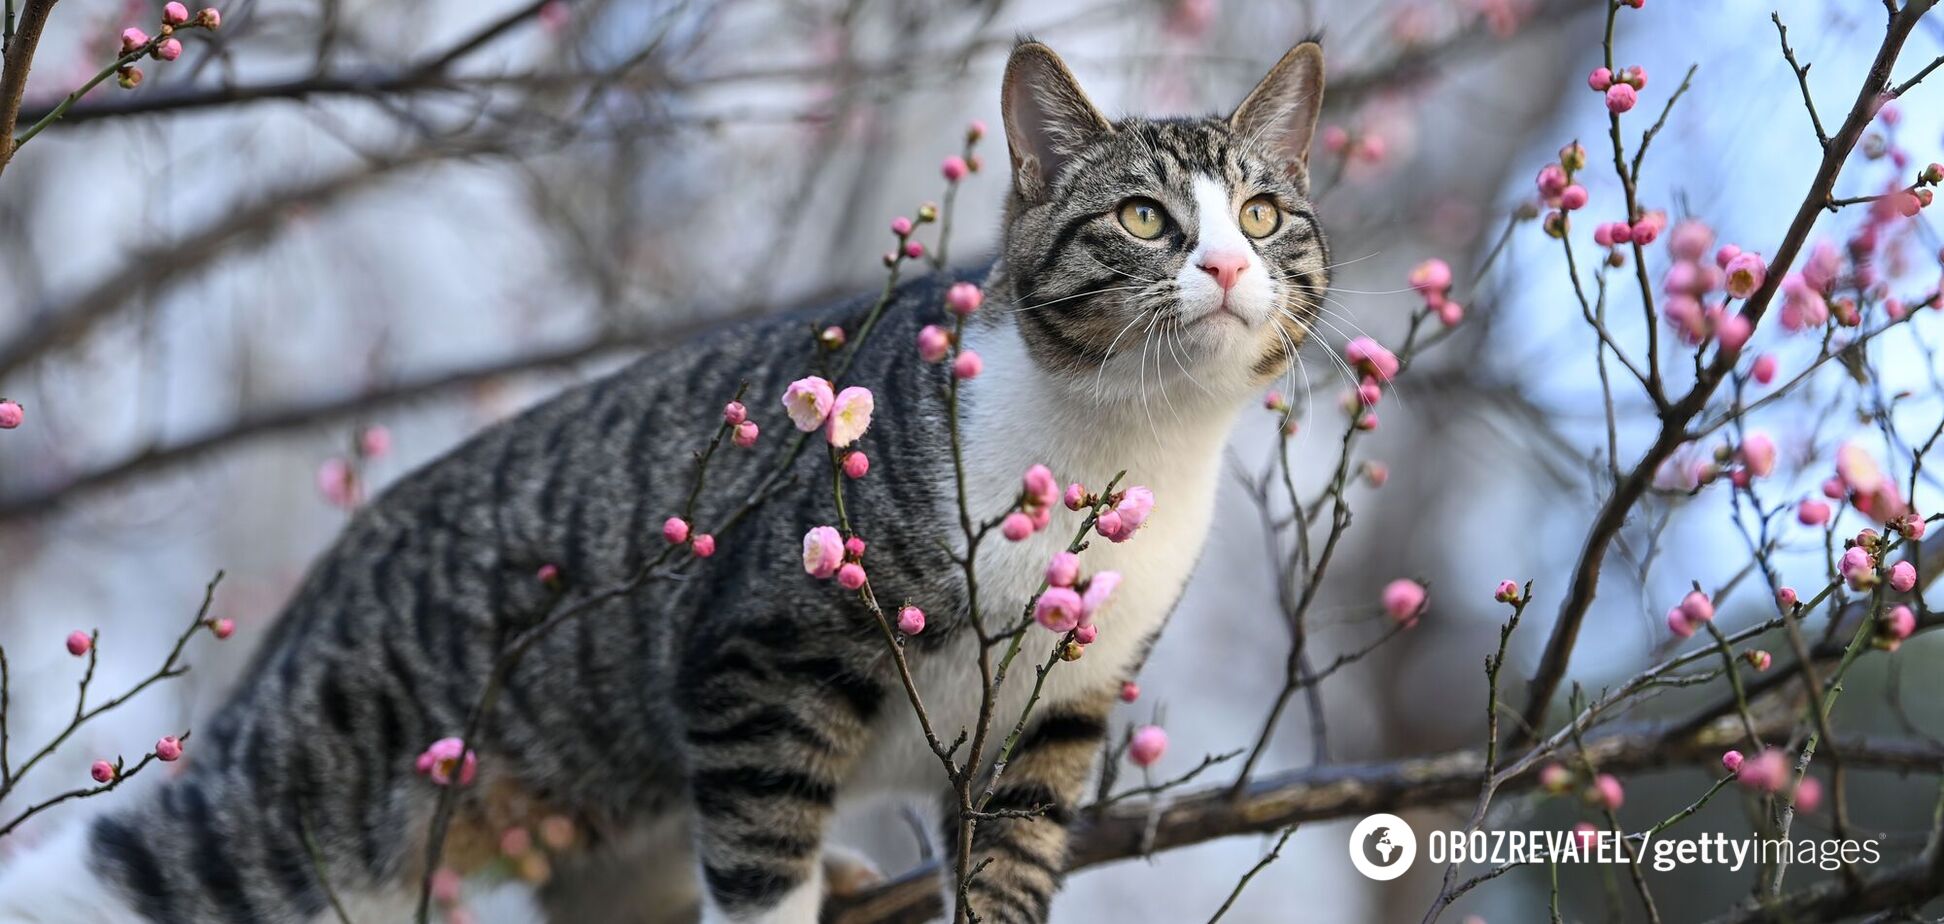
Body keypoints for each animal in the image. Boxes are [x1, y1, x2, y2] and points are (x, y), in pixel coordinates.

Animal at [0, 36, 1329, 924]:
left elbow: (1009, 871)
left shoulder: (1055, 720)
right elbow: (761, 857)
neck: (1126, 440)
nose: (1226, 265)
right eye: (1146, 220)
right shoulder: (765, 653)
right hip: (311, 789)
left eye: (1265, 215)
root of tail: (331, 573)